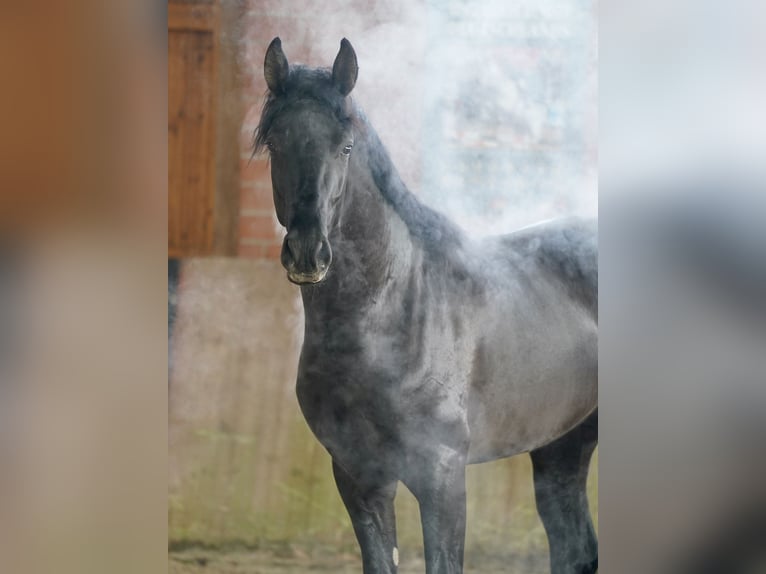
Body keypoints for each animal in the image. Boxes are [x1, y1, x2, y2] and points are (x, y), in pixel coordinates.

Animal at [255, 38, 596, 572]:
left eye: (345, 147)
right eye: (275, 144)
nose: (308, 252)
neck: (392, 316)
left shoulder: (442, 476)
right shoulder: (359, 477)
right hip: (562, 445)